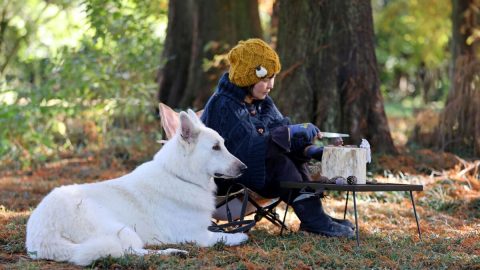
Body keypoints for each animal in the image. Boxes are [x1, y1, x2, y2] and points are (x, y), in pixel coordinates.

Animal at [26, 109, 249, 266]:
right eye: (215, 147)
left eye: (223, 145)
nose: (244, 168)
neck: (179, 176)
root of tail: (42, 236)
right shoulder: (197, 235)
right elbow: (222, 236)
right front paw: (239, 236)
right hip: (121, 230)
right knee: (128, 252)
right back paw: (171, 252)